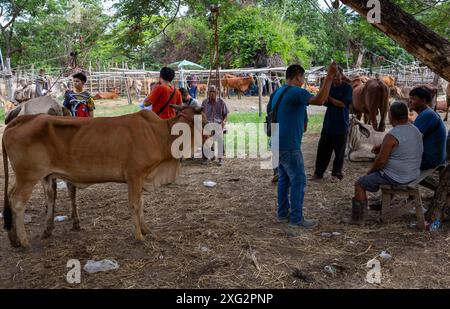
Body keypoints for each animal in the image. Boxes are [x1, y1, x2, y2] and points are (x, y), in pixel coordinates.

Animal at [1, 104, 206, 247]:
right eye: (202, 120)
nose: (212, 132)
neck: (159, 134)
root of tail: (21, 119)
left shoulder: (141, 177)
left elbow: (141, 203)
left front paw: (146, 229)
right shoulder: (134, 175)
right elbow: (134, 204)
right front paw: (138, 235)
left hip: (26, 177)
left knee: (10, 198)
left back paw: (14, 239)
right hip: (28, 177)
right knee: (17, 202)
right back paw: (24, 241)